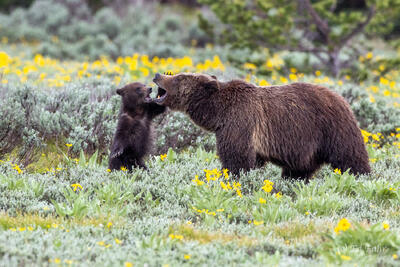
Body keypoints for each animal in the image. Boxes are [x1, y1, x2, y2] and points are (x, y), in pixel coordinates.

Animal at [152, 73, 370, 180]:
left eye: (178, 77)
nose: (157, 74)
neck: (219, 111)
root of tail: (343, 99)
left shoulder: (240, 122)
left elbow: (237, 158)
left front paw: (234, 177)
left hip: (332, 128)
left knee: (350, 156)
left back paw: (362, 177)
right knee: (299, 169)